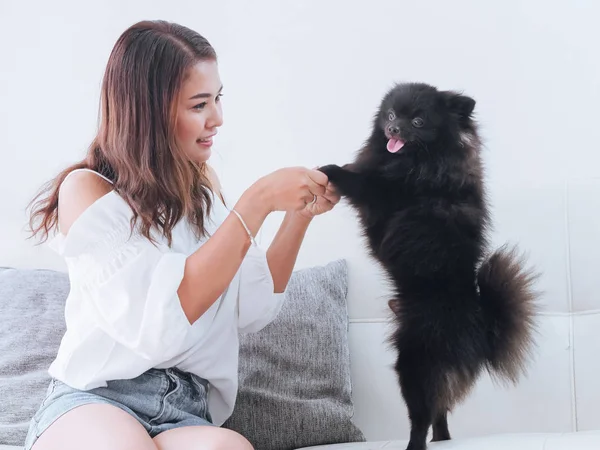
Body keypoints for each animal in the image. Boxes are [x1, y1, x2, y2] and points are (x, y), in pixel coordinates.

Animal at [318, 82, 540, 448]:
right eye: (391, 115)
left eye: (418, 122)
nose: (393, 129)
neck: (422, 159)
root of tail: (480, 320)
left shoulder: (384, 193)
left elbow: (360, 182)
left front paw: (331, 171)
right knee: (441, 411)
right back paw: (441, 439)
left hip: (415, 361)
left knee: (421, 416)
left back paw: (417, 443)